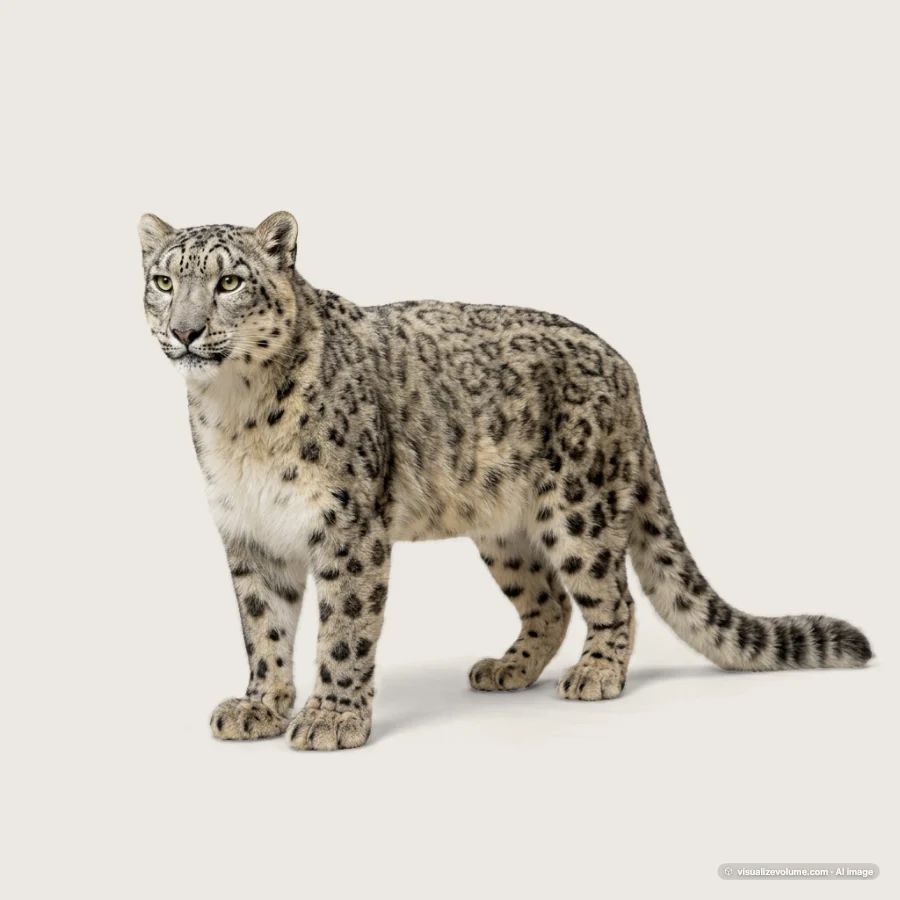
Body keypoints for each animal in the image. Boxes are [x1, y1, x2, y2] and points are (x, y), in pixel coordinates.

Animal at [139, 211, 873, 751]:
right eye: (165, 281)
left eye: (230, 282)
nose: (186, 331)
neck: (234, 417)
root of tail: (624, 366)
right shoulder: (249, 533)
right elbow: (263, 628)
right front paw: (259, 706)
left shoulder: (348, 526)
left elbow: (344, 627)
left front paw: (332, 718)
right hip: (505, 532)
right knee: (547, 603)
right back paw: (507, 668)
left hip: (578, 510)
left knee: (614, 597)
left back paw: (596, 674)